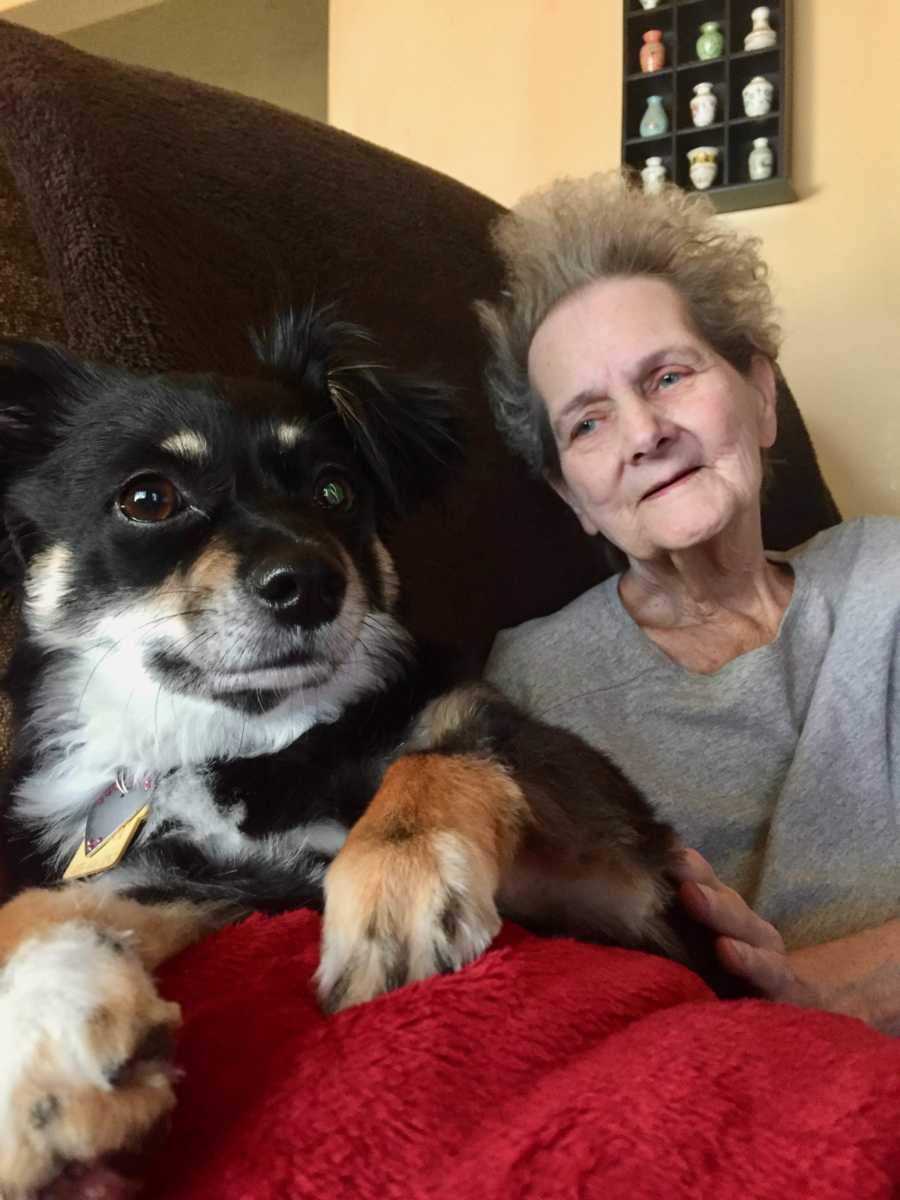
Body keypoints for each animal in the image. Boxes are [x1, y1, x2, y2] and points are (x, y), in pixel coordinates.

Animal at [0, 307, 720, 1190]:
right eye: (148, 497)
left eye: (334, 489)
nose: (309, 582)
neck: (250, 741)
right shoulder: (213, 876)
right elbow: (45, 904)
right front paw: (45, 1045)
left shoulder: (616, 879)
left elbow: (440, 745)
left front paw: (397, 887)